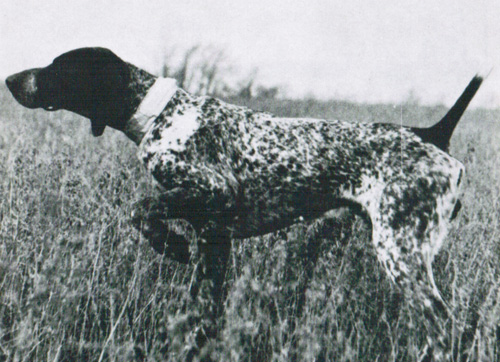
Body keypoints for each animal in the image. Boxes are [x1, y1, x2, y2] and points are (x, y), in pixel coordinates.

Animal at [5, 48, 482, 360]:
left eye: (57, 66)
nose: (10, 80)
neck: (159, 115)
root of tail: (432, 135)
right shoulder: (215, 238)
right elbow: (203, 309)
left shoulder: (213, 190)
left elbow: (141, 209)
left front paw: (169, 245)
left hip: (400, 251)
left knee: (444, 327)